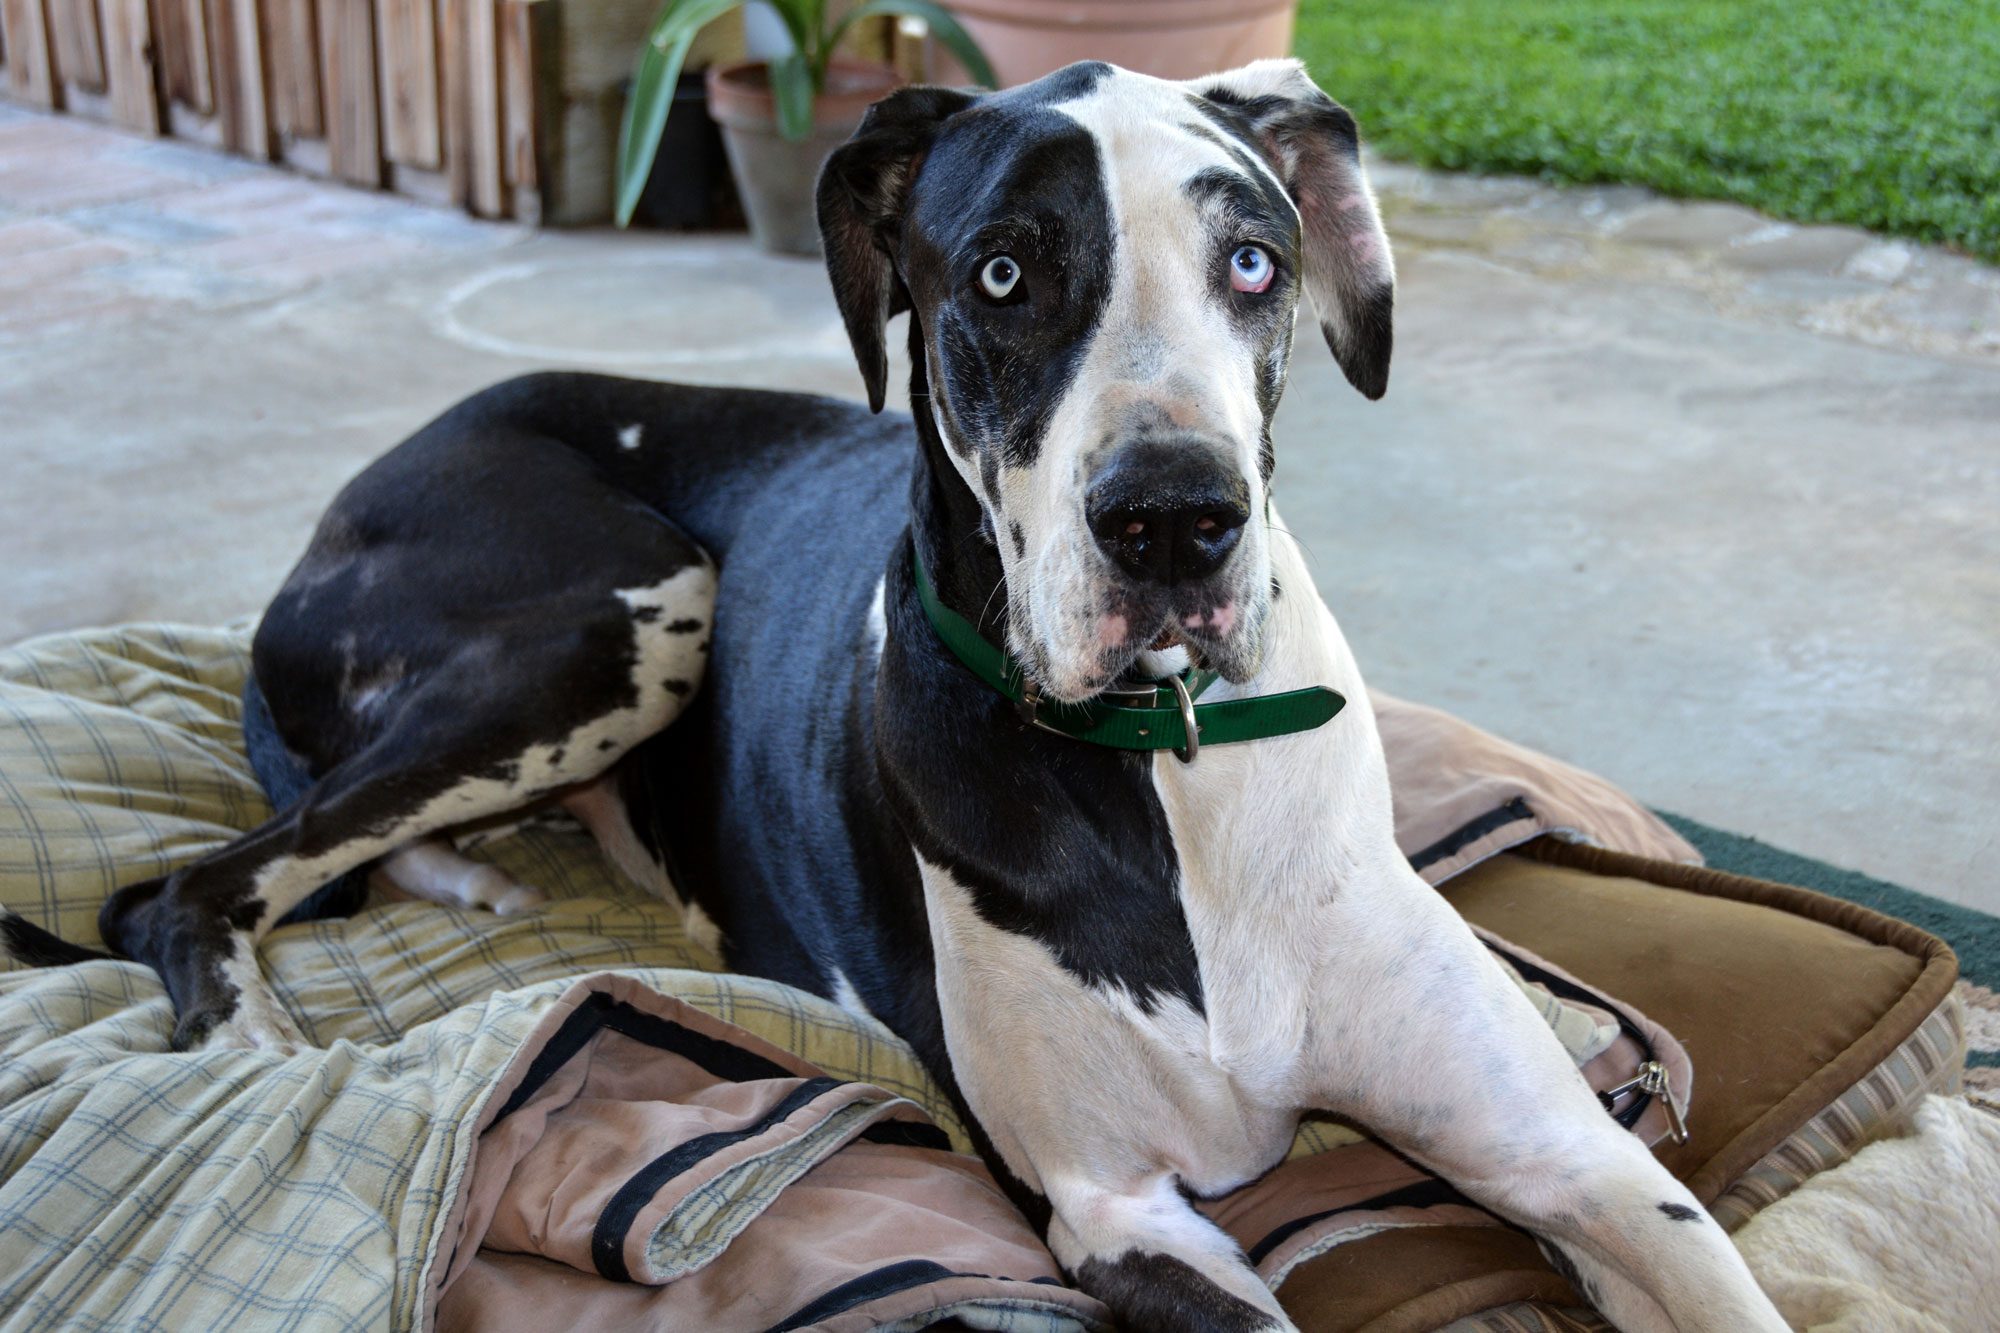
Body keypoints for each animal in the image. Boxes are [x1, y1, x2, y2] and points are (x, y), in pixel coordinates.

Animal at [7, 59, 1792, 1328]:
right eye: (1001, 275)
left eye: (1254, 262)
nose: (1175, 519)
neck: (1167, 772)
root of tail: (351, 493)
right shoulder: (1107, 1208)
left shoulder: (1577, 1162)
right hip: (616, 611)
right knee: (181, 891)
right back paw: (256, 1038)